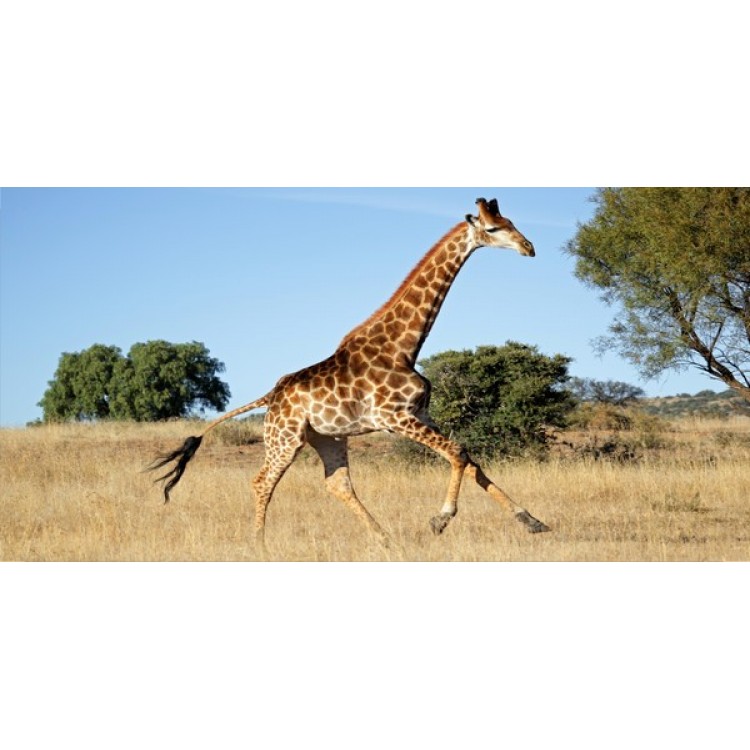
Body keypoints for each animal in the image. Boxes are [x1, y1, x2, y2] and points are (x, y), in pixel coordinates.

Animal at [149, 197, 550, 553]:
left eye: (511, 221)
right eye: (493, 228)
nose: (529, 247)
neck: (403, 346)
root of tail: (270, 396)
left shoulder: (420, 414)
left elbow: (470, 460)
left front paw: (532, 521)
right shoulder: (395, 417)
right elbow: (459, 452)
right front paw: (440, 520)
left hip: (328, 438)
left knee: (337, 485)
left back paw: (385, 539)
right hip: (284, 439)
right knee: (261, 481)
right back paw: (260, 546)